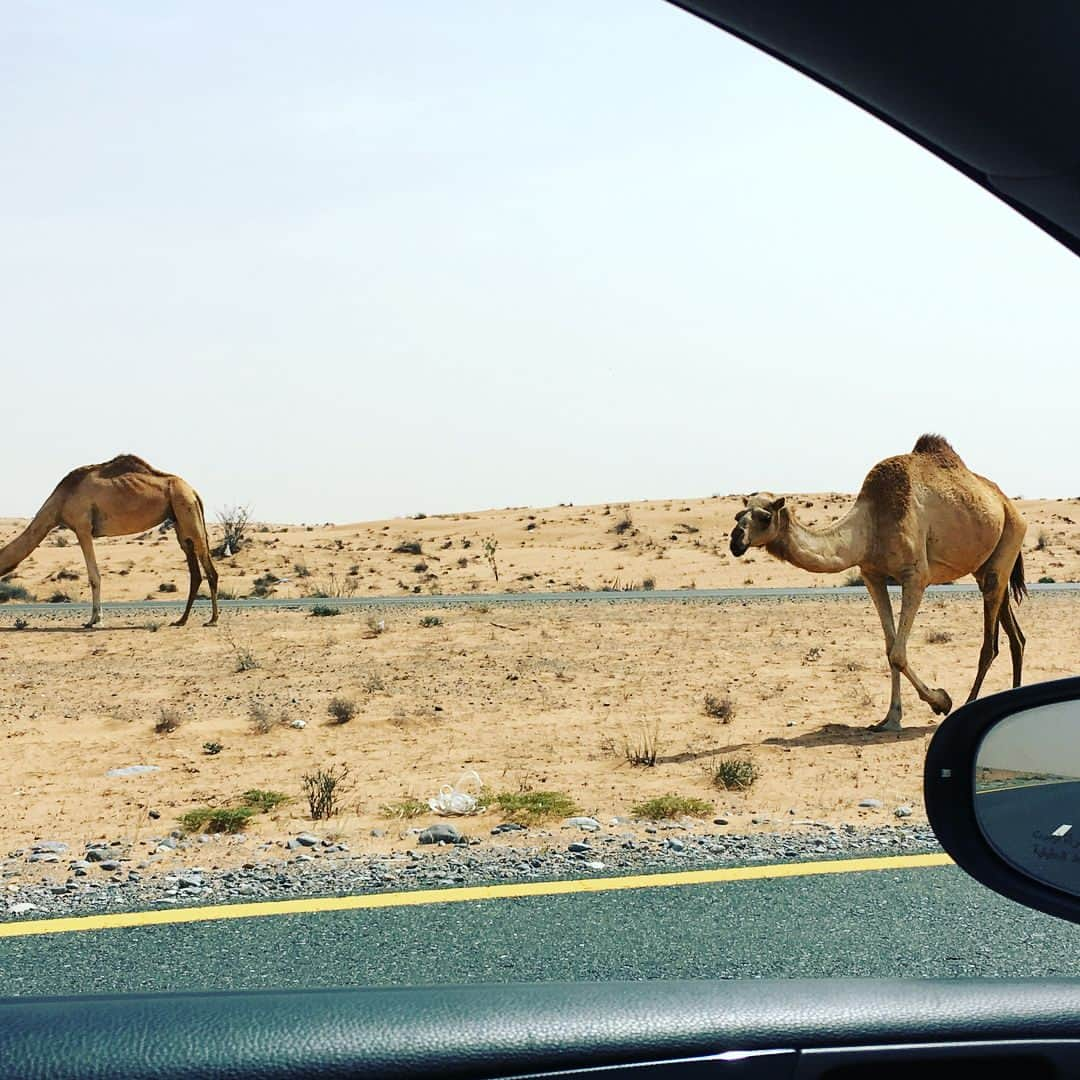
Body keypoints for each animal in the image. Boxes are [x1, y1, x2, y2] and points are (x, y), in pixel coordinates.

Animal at [0, 453, 219, 626]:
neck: (60, 502)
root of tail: (193, 491)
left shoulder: (82, 528)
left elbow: (93, 576)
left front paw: (93, 620)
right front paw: (95, 618)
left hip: (186, 508)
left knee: (209, 568)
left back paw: (212, 620)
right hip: (179, 519)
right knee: (194, 569)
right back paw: (181, 620)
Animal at [730, 434, 1023, 730]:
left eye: (765, 517)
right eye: (738, 516)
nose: (736, 542)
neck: (870, 527)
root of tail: (1009, 505)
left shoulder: (915, 576)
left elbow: (898, 653)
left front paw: (941, 701)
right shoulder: (872, 576)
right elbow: (889, 649)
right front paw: (891, 718)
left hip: (1009, 540)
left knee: (990, 644)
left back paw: (969, 704)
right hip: (987, 566)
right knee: (1014, 634)